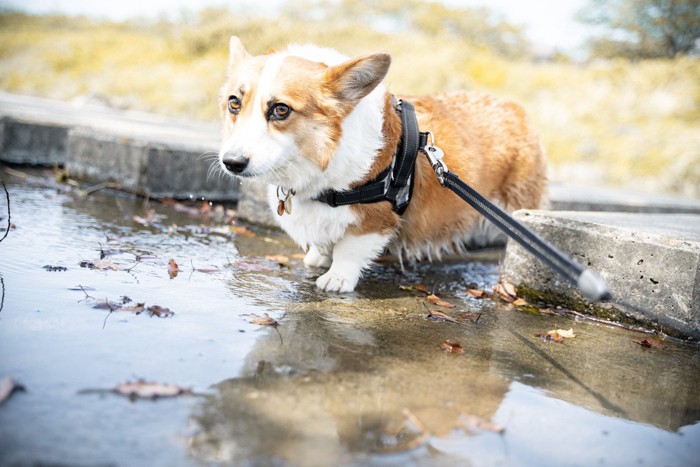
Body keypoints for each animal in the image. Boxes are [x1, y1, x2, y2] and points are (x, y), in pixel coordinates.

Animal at [219, 36, 548, 292]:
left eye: (281, 110)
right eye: (234, 103)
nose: (231, 163)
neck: (321, 153)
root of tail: (514, 107)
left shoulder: (374, 220)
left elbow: (349, 250)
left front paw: (336, 278)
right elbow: (324, 239)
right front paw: (319, 256)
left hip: (518, 204)